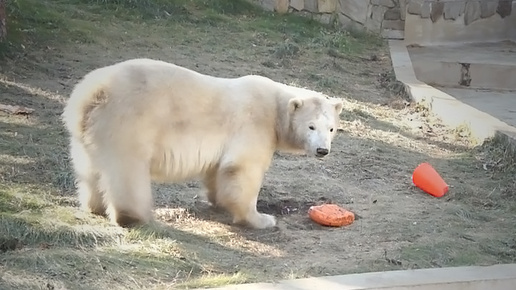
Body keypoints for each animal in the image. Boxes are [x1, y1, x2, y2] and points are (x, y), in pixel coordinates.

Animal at [61, 59, 342, 230]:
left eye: (331, 128)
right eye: (311, 126)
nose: (322, 150)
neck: (275, 109)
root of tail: (90, 95)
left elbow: (218, 170)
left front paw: (219, 201)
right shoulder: (254, 123)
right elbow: (243, 168)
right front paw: (261, 218)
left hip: (87, 134)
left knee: (89, 168)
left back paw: (94, 205)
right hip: (128, 122)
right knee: (127, 169)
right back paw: (133, 216)